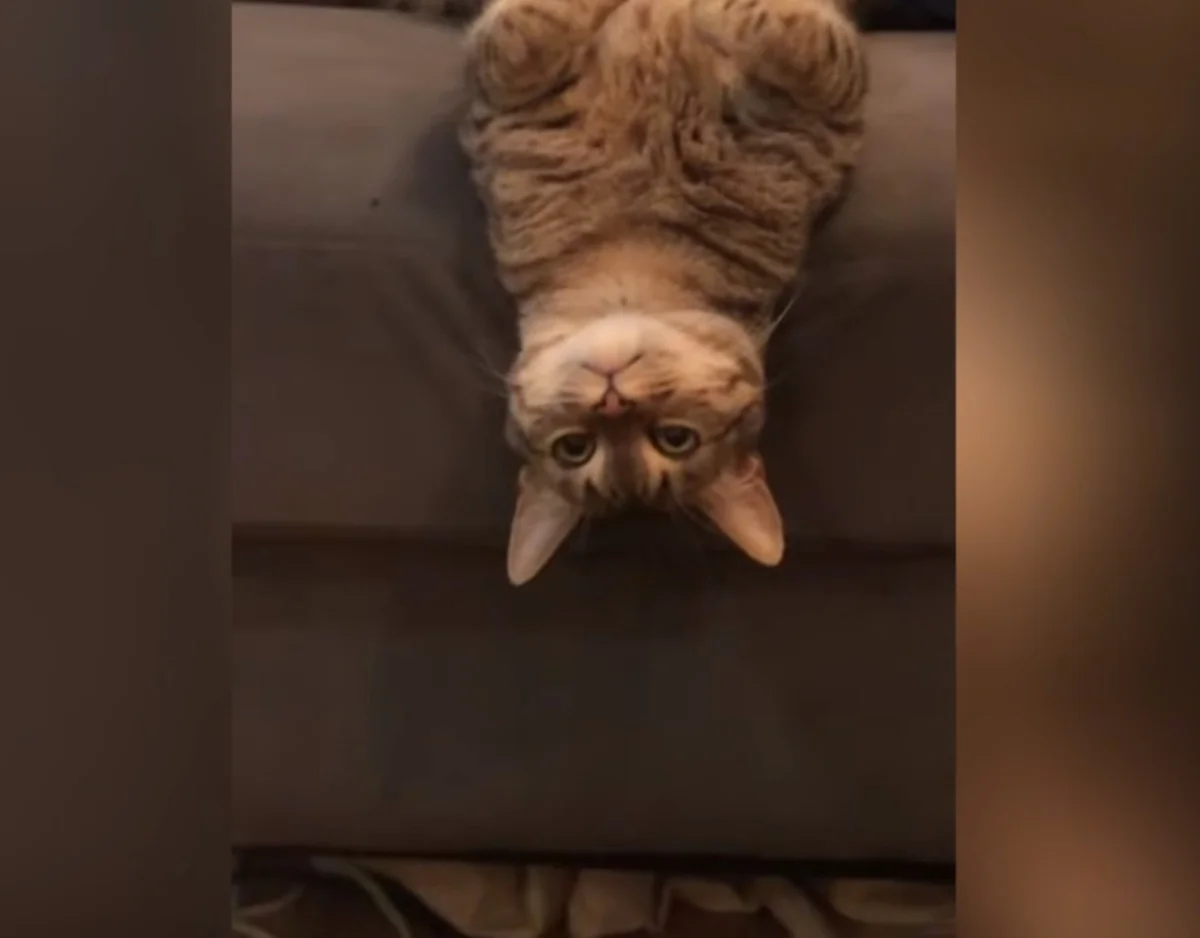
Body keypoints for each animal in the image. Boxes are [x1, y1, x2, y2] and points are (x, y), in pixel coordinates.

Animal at [399, 0, 867, 584]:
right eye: (575, 448)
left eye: (675, 439)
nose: (613, 397)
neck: (630, 247)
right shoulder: (501, 98)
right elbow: (525, 38)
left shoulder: (822, 112)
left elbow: (800, 44)